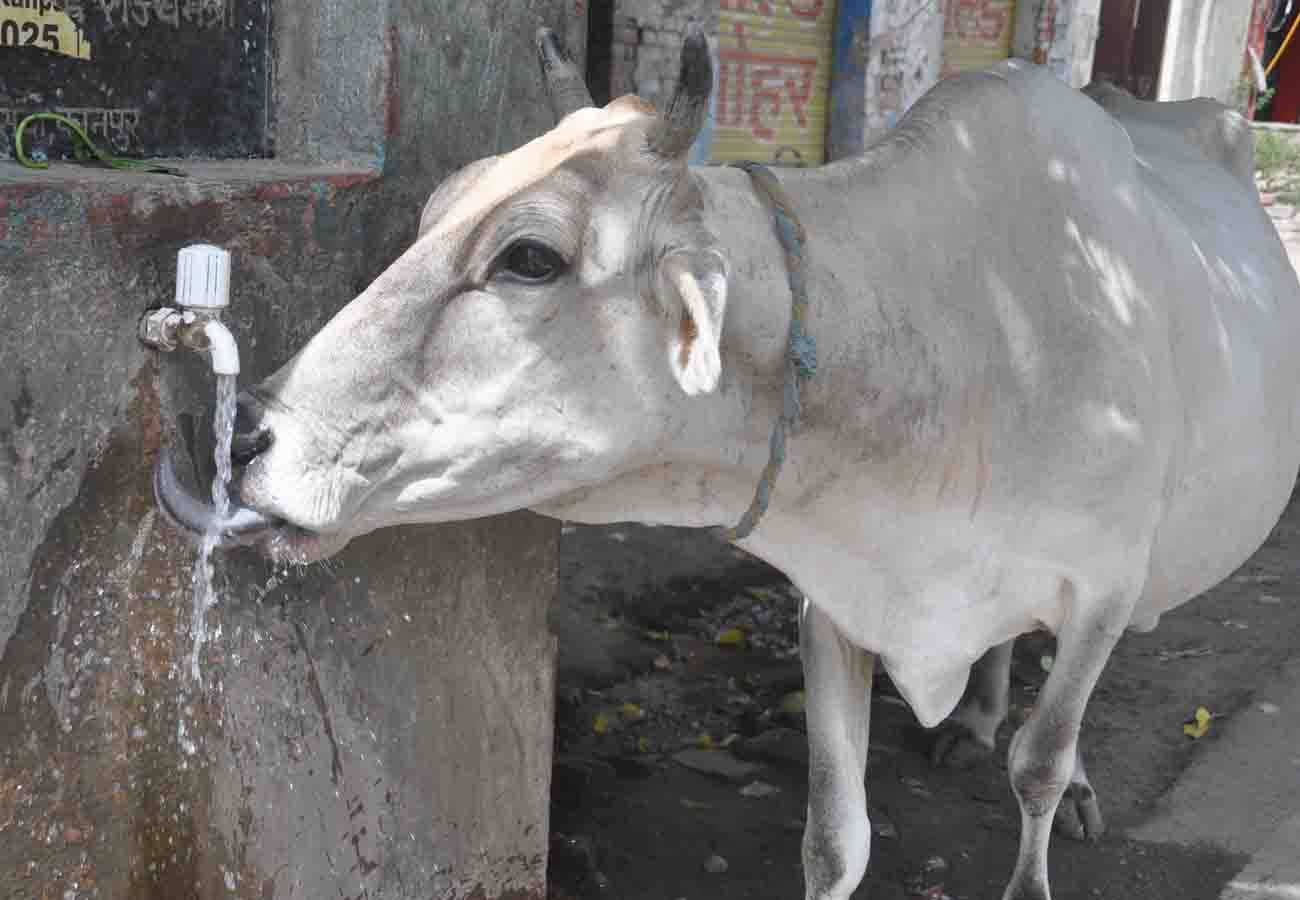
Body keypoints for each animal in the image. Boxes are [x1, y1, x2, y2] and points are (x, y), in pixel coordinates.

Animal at [155, 25, 1300, 900]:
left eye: (529, 257)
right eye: (435, 211)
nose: (244, 436)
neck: (964, 335)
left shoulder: (1102, 584)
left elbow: (1040, 762)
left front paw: (1046, 817)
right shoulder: (834, 593)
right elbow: (834, 838)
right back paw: (974, 711)